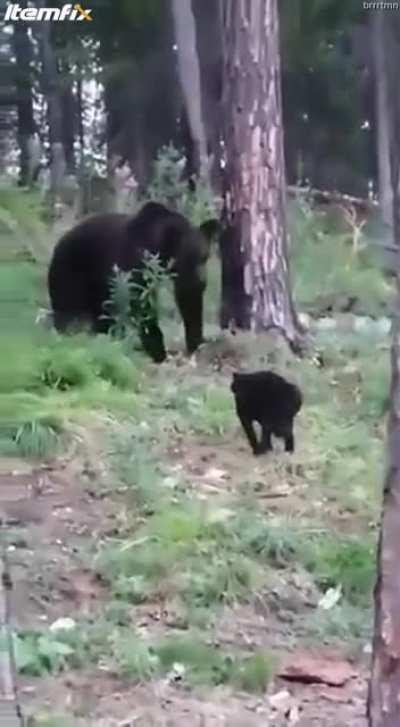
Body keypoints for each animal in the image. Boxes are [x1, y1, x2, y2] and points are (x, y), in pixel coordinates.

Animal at [48, 202, 219, 363]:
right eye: (189, 257)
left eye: (205, 256)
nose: (202, 279)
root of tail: (57, 246)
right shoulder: (133, 263)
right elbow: (140, 303)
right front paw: (158, 350)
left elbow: (188, 299)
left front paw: (196, 343)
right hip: (72, 272)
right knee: (71, 309)